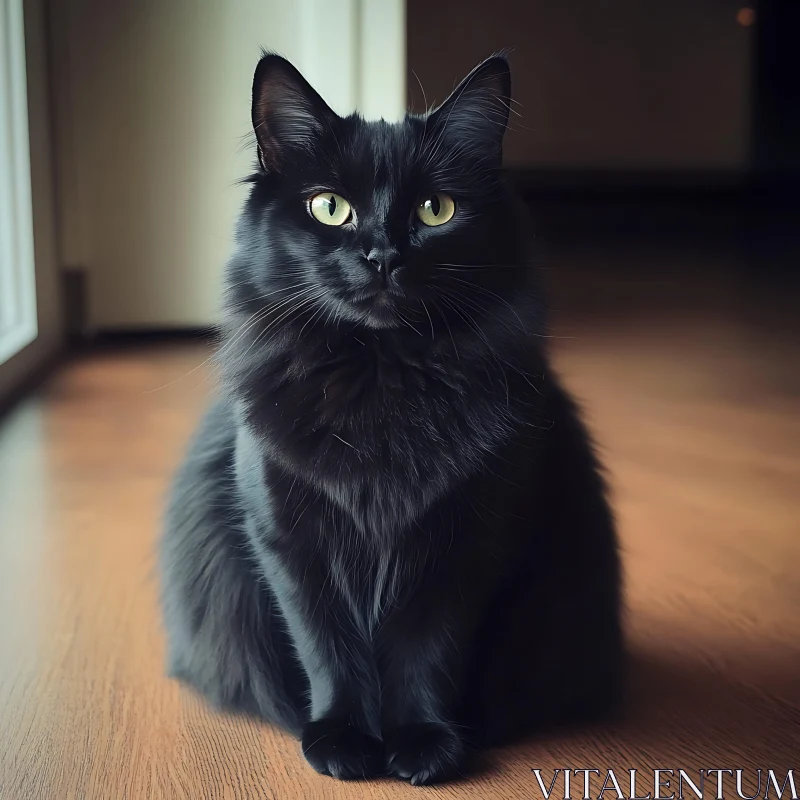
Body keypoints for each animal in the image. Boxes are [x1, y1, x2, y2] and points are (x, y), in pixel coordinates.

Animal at [161, 51, 624, 788]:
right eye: (330, 208)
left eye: (437, 210)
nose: (382, 256)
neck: (381, 384)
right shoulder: (291, 543)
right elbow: (329, 652)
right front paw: (344, 740)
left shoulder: (465, 545)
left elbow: (424, 653)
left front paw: (423, 743)